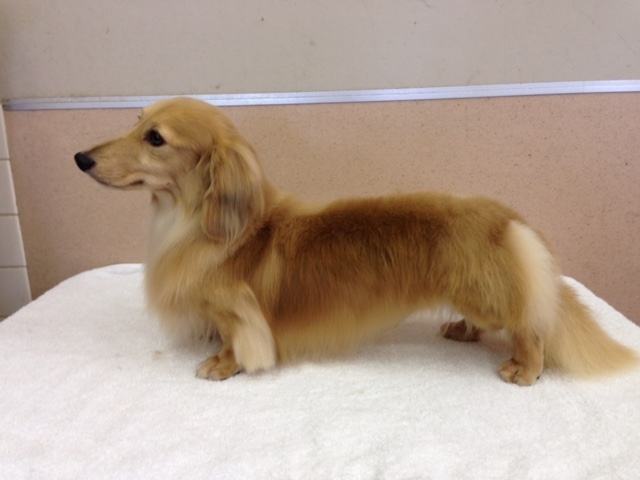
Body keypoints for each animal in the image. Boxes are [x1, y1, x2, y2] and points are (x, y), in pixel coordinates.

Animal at [74, 97, 638, 385]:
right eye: (136, 121)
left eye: (156, 139)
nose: (80, 158)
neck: (199, 226)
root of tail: (510, 219)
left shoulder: (238, 312)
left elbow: (237, 340)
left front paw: (222, 363)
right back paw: (461, 330)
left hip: (490, 298)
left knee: (531, 329)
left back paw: (526, 369)